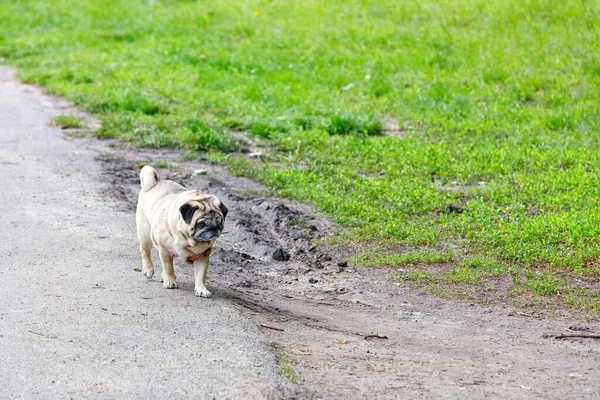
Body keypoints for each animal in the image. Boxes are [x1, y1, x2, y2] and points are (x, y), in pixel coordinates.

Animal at [136, 165, 227, 296]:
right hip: (145, 234)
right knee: (145, 251)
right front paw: (170, 281)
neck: (188, 240)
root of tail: (155, 183)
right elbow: (169, 268)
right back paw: (148, 270)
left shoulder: (203, 257)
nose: (213, 228)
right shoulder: (165, 251)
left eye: (220, 224)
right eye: (201, 224)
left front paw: (201, 289)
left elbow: (201, 275)